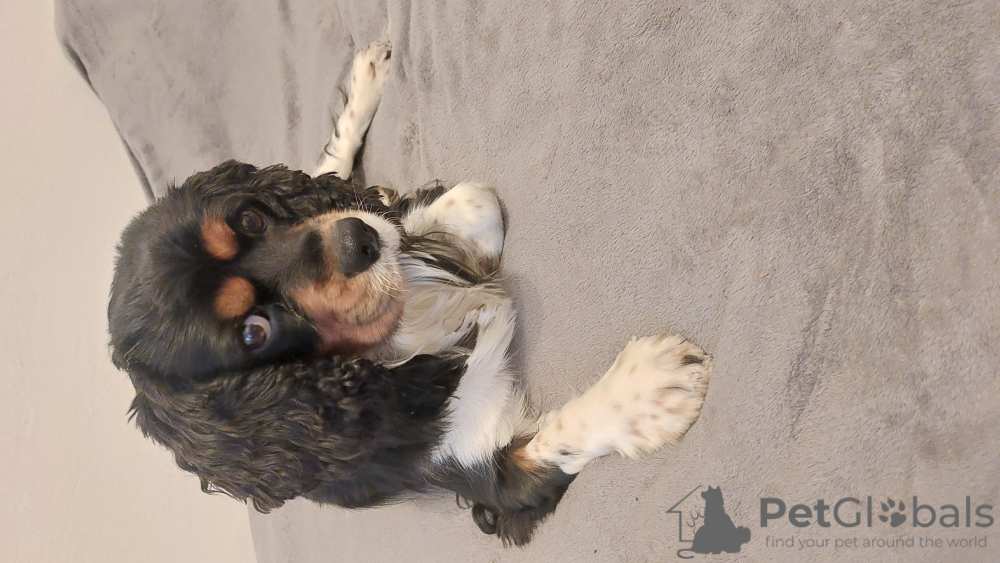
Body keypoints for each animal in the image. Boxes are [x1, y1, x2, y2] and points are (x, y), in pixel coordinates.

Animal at [108, 41, 712, 546]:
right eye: (254, 332)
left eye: (252, 219)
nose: (358, 241)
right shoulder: (484, 472)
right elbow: (553, 442)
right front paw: (651, 385)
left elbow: (453, 206)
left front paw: (449, 229)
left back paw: (367, 80)